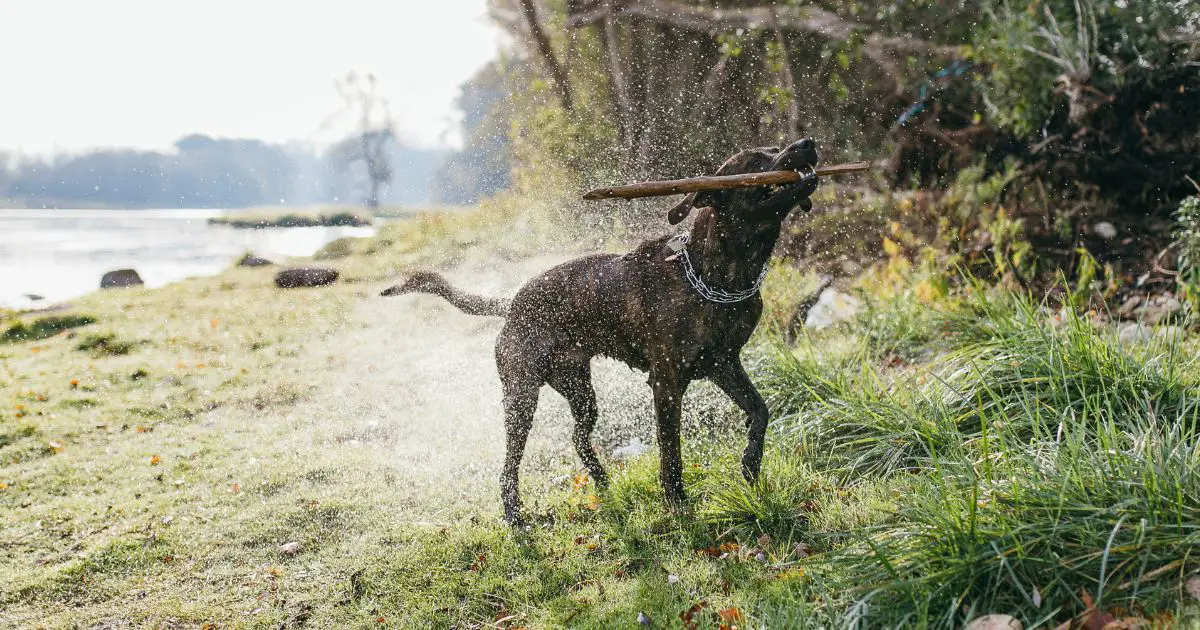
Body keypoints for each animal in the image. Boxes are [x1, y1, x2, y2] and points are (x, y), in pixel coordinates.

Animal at [384, 138, 825, 525]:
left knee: (578, 439)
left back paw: (601, 482)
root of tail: (512, 303)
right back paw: (514, 515)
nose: (808, 142)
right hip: (521, 396)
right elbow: (671, 452)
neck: (717, 273)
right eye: (756, 158)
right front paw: (677, 503)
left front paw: (750, 463)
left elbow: (760, 411)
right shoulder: (667, 383)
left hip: (581, 391)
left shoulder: (723, 364)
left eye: (777, 145)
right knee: (510, 463)